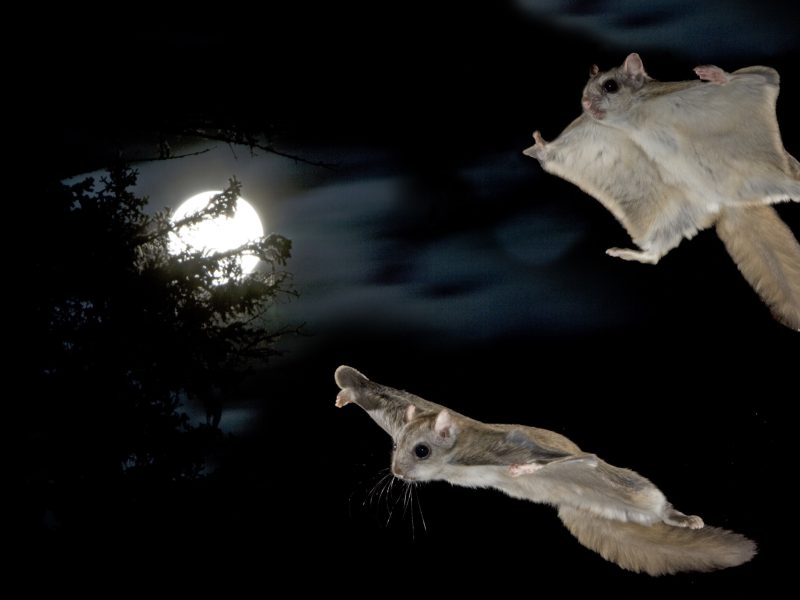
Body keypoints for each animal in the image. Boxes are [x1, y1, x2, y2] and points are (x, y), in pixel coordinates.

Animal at [335, 365, 756, 576]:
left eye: (421, 451)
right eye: (395, 446)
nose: (398, 472)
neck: (456, 456)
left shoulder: (504, 448)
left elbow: (564, 457)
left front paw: (524, 470)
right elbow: (375, 395)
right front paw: (350, 388)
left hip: (631, 488)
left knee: (655, 503)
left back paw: (684, 519)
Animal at [523, 53, 800, 330]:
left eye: (610, 85)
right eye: (585, 87)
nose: (586, 102)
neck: (631, 118)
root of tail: (729, 202)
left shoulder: (748, 82)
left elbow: (767, 76)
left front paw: (718, 75)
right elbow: (554, 151)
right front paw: (541, 145)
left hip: (775, 172)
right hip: (675, 216)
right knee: (654, 255)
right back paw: (629, 253)